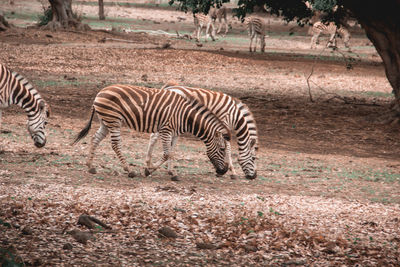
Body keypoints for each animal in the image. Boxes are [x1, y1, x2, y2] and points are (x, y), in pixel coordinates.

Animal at [72, 85, 231, 178]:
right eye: (222, 149)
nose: (223, 171)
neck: (185, 117)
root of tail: (100, 92)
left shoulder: (174, 133)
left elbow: (172, 153)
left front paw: (171, 172)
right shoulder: (166, 130)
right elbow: (167, 154)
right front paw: (149, 170)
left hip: (105, 122)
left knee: (95, 139)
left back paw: (90, 166)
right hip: (114, 120)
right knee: (115, 145)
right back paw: (129, 170)